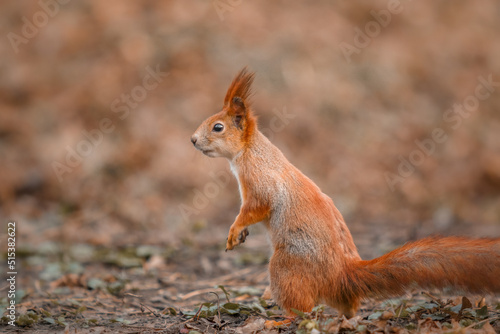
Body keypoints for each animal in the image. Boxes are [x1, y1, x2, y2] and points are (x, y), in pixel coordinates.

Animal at [190, 67, 500, 318]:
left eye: (218, 127)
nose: (192, 140)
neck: (250, 152)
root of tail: (342, 274)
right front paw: (239, 234)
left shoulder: (260, 183)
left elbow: (255, 208)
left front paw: (234, 231)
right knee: (345, 305)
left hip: (286, 267)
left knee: (302, 309)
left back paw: (278, 318)